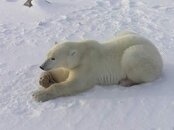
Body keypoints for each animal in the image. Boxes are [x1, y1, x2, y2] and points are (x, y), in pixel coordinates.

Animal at [33, 31, 163, 101]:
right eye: (47, 55)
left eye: (53, 58)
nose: (41, 66)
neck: (82, 53)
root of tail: (158, 53)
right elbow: (63, 72)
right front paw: (44, 79)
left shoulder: (87, 66)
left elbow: (75, 83)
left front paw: (38, 95)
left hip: (139, 55)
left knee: (132, 60)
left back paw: (126, 81)